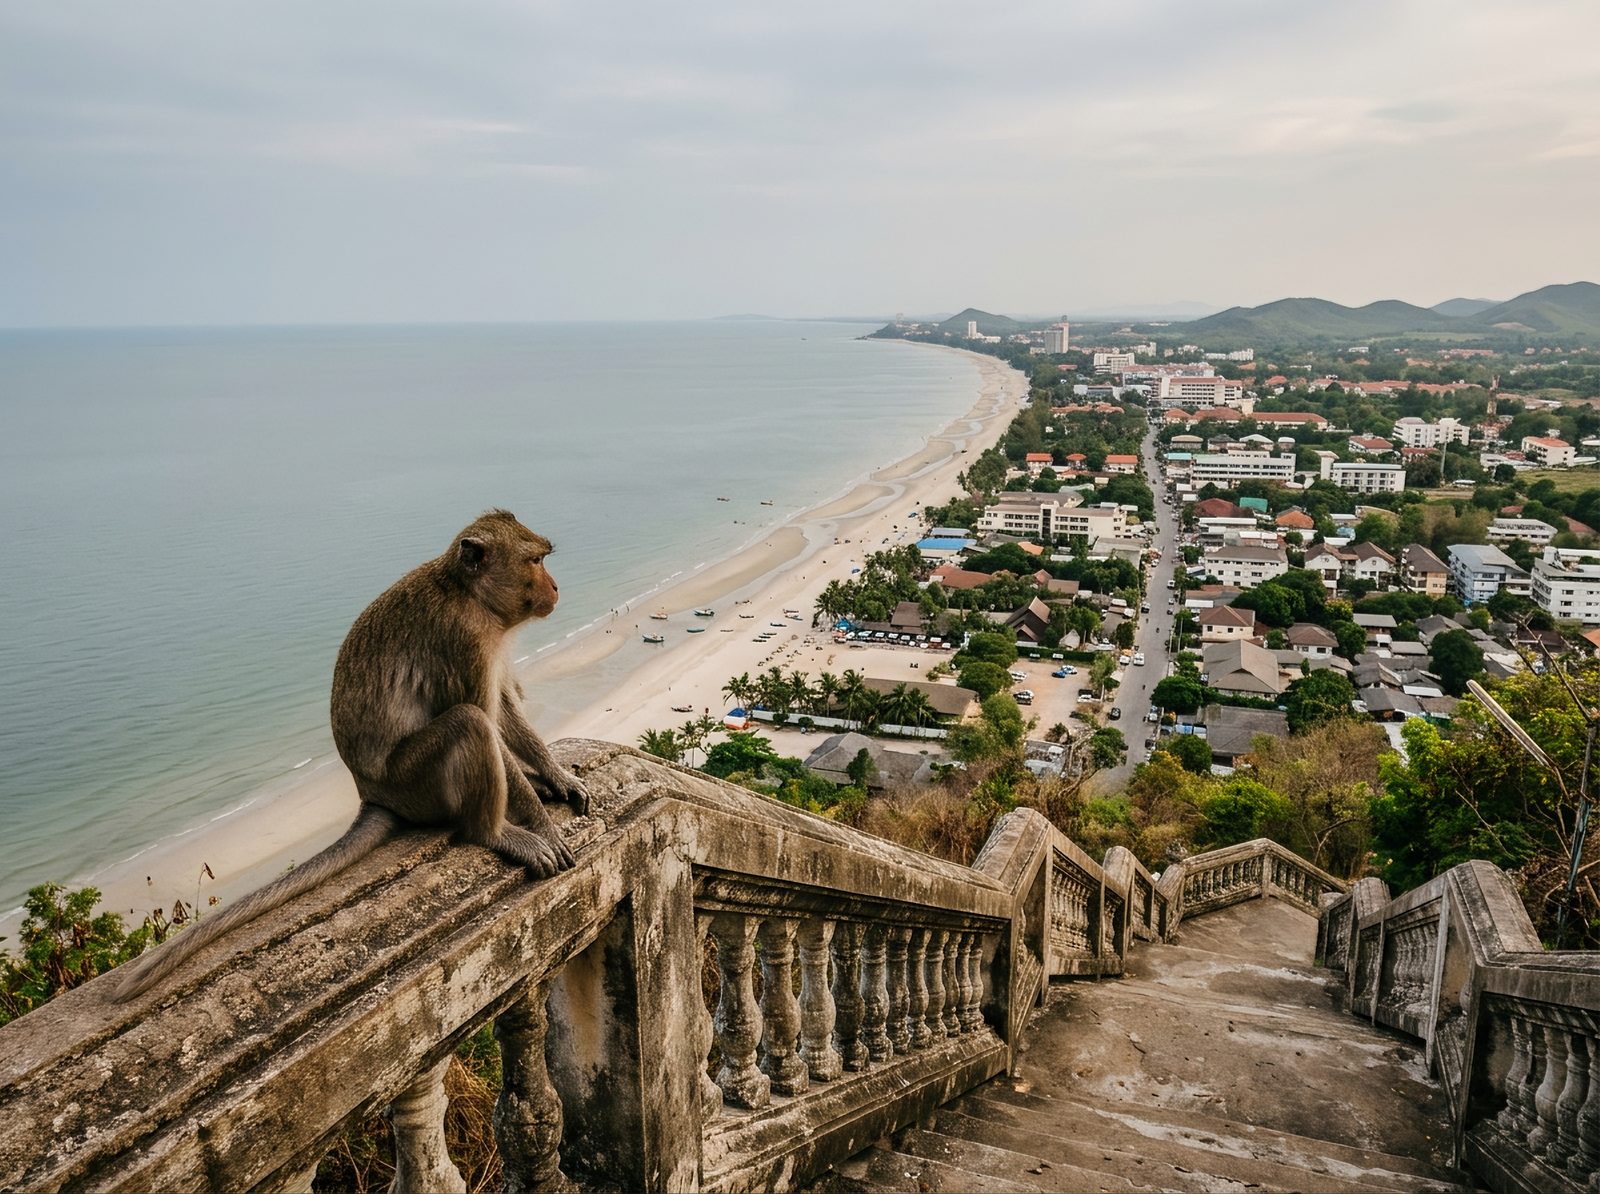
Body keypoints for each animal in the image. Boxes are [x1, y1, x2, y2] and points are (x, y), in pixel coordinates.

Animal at [111, 510, 587, 1001]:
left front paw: (558, 778)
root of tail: (372, 794)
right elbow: (488, 717)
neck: (469, 595)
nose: (555, 587)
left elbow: (505, 710)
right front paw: (543, 827)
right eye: (535, 561)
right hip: (416, 783)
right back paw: (493, 832)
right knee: (468, 722)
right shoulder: (465, 639)